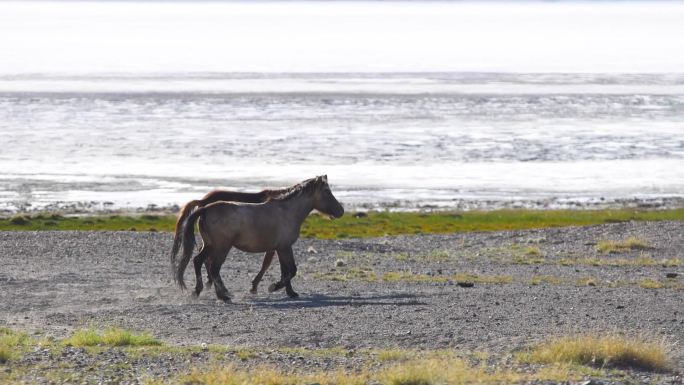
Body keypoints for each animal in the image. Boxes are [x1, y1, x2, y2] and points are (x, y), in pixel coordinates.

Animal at [176, 176, 344, 302]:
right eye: (326, 191)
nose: (341, 211)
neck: (287, 211)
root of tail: (205, 208)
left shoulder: (281, 248)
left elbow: (286, 270)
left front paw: (291, 292)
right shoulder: (284, 247)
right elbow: (291, 271)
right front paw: (273, 287)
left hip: (210, 245)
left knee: (198, 261)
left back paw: (199, 291)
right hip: (221, 247)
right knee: (213, 268)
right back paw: (223, 296)